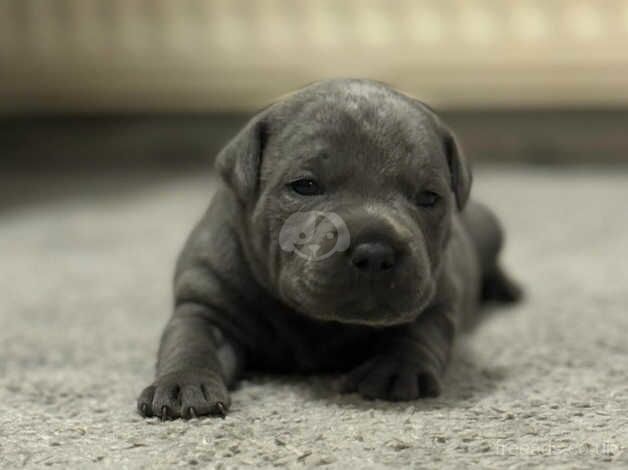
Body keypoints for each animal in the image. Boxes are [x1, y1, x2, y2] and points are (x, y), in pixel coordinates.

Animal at [140, 79, 524, 420]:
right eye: (305, 186)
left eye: (429, 197)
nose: (375, 252)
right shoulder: (205, 303)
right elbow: (190, 341)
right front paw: (184, 384)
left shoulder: (437, 296)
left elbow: (419, 334)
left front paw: (396, 369)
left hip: (488, 227)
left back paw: (505, 287)